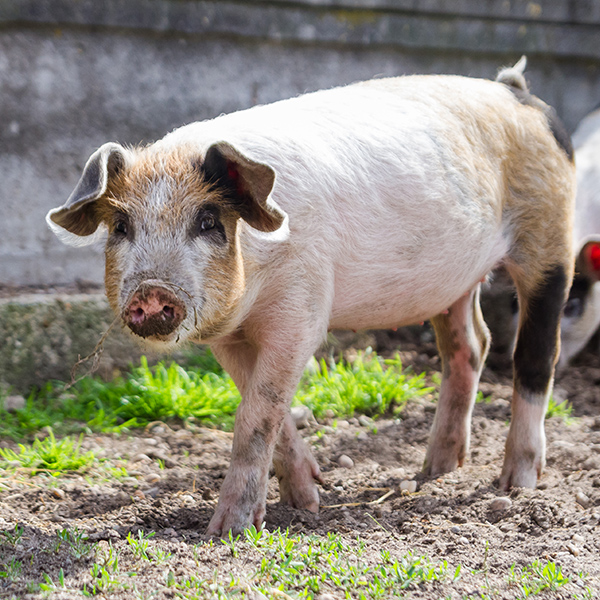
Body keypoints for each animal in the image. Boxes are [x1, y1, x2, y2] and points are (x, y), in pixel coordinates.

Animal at [45, 58, 572, 536]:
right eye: (120, 226)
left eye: (209, 221)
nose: (152, 291)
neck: (257, 278)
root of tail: (515, 91)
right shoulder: (229, 335)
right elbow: (264, 404)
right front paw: (308, 501)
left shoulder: (301, 313)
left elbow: (256, 413)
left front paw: (228, 530)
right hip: (455, 282)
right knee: (470, 345)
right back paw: (434, 471)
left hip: (550, 235)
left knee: (536, 354)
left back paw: (516, 484)